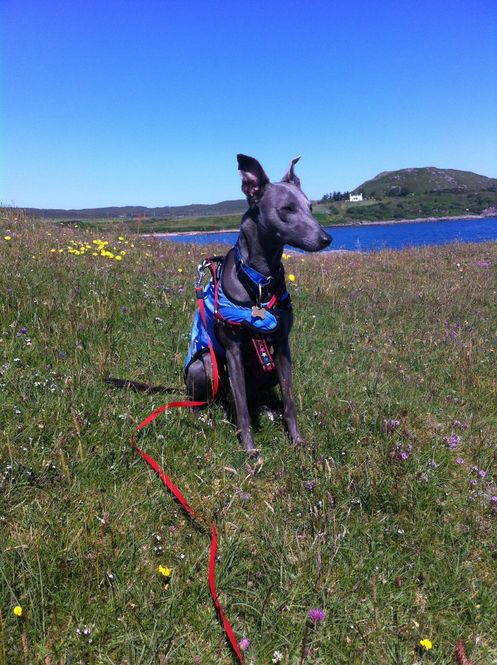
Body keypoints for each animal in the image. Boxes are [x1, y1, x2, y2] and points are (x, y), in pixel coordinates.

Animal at [184, 154, 332, 452]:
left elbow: (289, 402)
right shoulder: (233, 351)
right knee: (216, 399)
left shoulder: (283, 346)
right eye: (286, 208)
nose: (326, 239)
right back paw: (203, 416)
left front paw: (297, 440)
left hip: (268, 368)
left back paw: (264, 409)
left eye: (310, 206)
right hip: (205, 365)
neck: (260, 281)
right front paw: (250, 449)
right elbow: (242, 410)